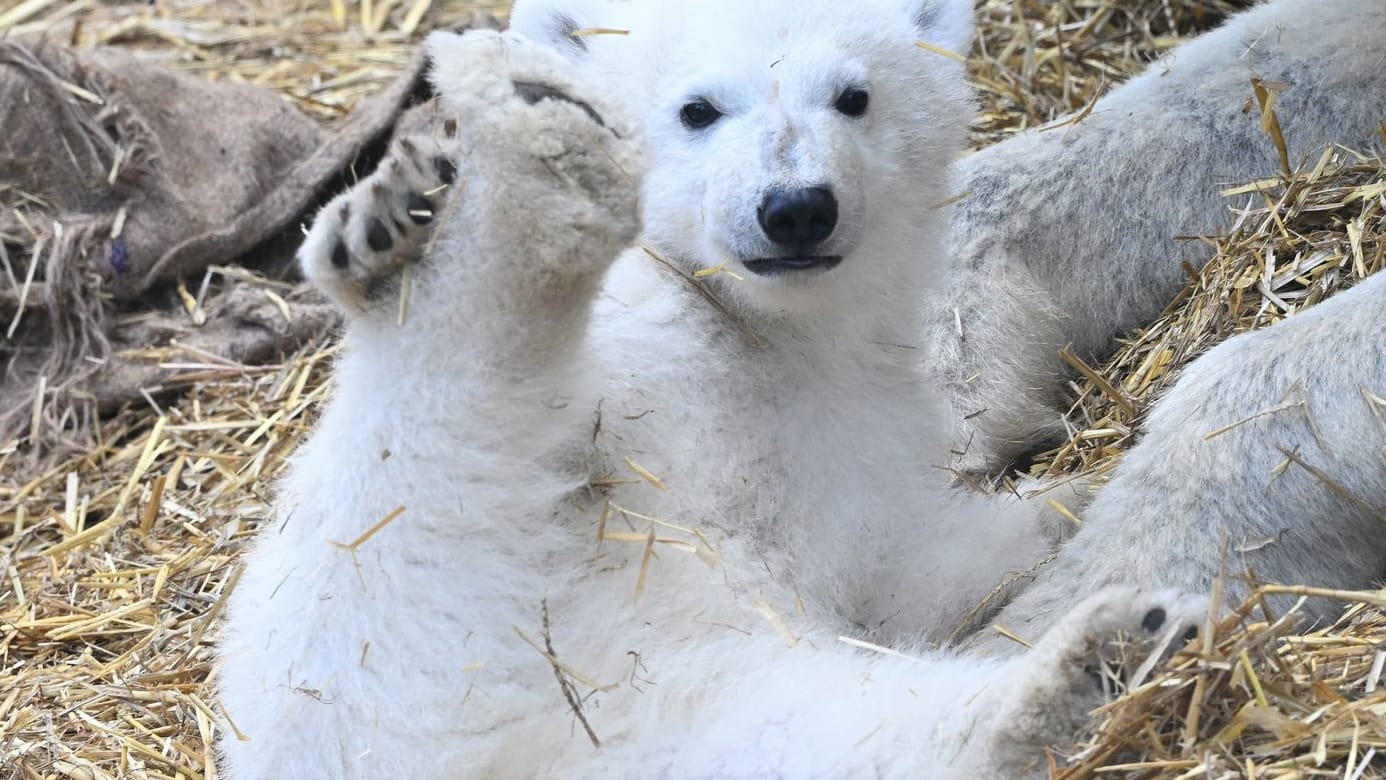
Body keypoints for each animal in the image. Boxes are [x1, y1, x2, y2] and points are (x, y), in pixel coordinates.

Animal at [213, 3, 1203, 775]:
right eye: (697, 108)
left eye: (854, 95)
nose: (796, 207)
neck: (753, 328)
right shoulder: (639, 356)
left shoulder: (856, 434)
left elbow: (906, 568)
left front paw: (1074, 500)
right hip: (369, 623)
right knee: (441, 439)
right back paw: (452, 217)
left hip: (688, 709)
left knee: (855, 732)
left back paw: (1100, 653)